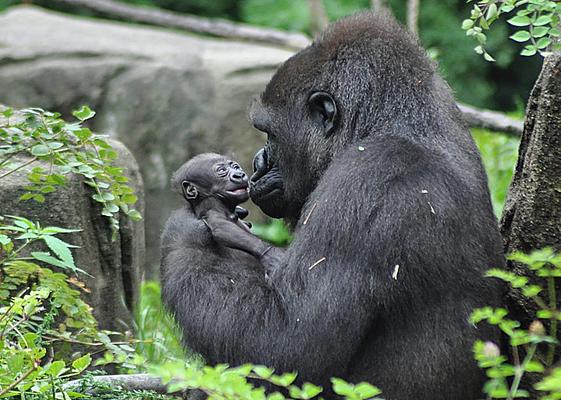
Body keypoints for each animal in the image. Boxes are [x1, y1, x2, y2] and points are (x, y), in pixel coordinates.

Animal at [161, 10, 504, 400]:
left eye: (270, 133)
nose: (255, 164)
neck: (392, 123)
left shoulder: (366, 178)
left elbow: (284, 344)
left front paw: (183, 233)